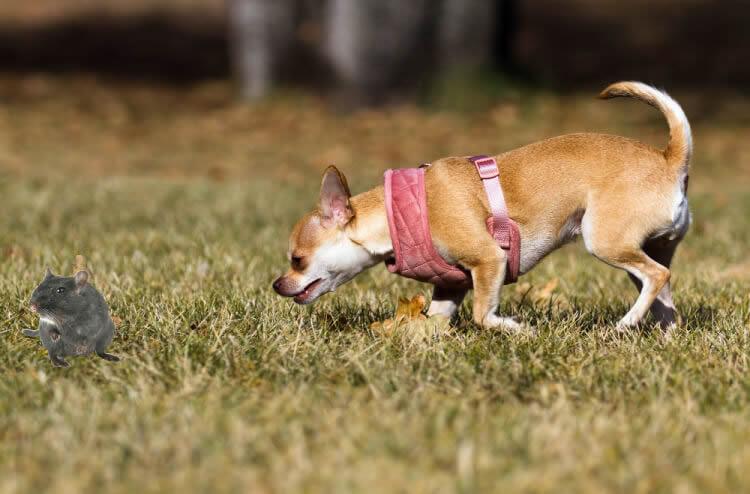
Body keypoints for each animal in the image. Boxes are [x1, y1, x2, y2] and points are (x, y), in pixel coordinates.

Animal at [272, 82, 692, 332]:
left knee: (656, 276)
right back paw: (664, 335)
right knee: (663, 291)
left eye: (297, 260)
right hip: (646, 249)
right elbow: (436, 316)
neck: (395, 214)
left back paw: (626, 323)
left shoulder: (490, 260)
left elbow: (482, 314)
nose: (277, 284)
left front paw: (517, 329)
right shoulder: (451, 284)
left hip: (603, 240)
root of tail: (670, 159)